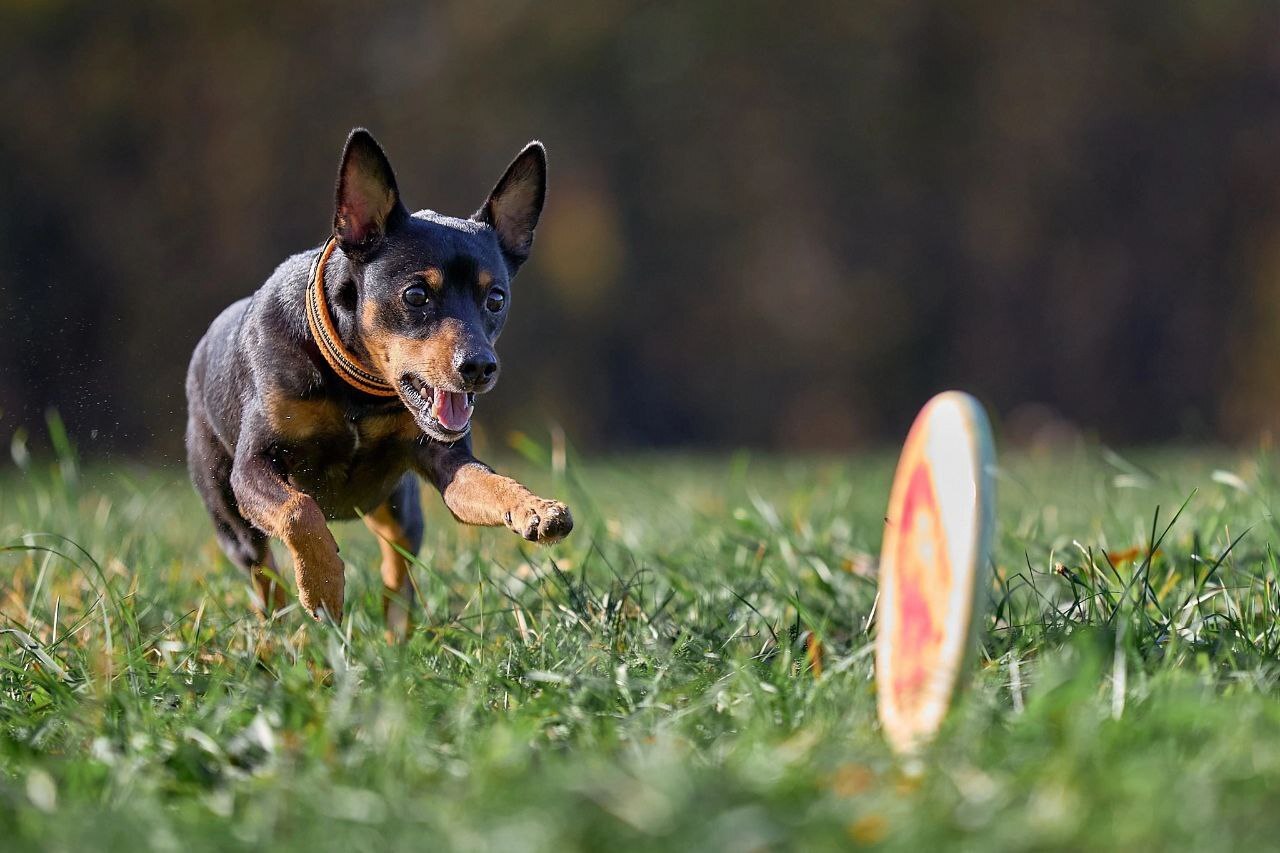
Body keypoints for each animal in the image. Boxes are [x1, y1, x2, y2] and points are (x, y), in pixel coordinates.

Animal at [184, 128, 570, 630]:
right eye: (416, 294)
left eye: (496, 299)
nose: (480, 367)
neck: (358, 391)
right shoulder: (253, 466)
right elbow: (298, 510)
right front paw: (323, 586)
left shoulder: (446, 460)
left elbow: (487, 483)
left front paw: (536, 508)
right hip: (230, 516)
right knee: (264, 576)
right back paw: (281, 632)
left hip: (399, 508)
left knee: (397, 572)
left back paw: (395, 635)